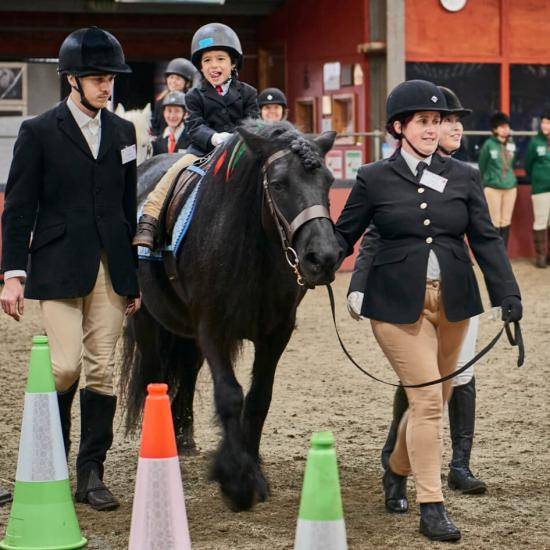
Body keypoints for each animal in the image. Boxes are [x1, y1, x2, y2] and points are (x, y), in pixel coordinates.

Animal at [122, 121, 340, 512]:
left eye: (329, 181)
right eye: (279, 183)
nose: (324, 257)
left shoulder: (276, 333)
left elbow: (258, 399)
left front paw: (253, 469)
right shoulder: (212, 328)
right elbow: (230, 396)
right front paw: (236, 481)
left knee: (188, 370)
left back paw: (184, 434)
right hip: (147, 320)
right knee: (156, 377)